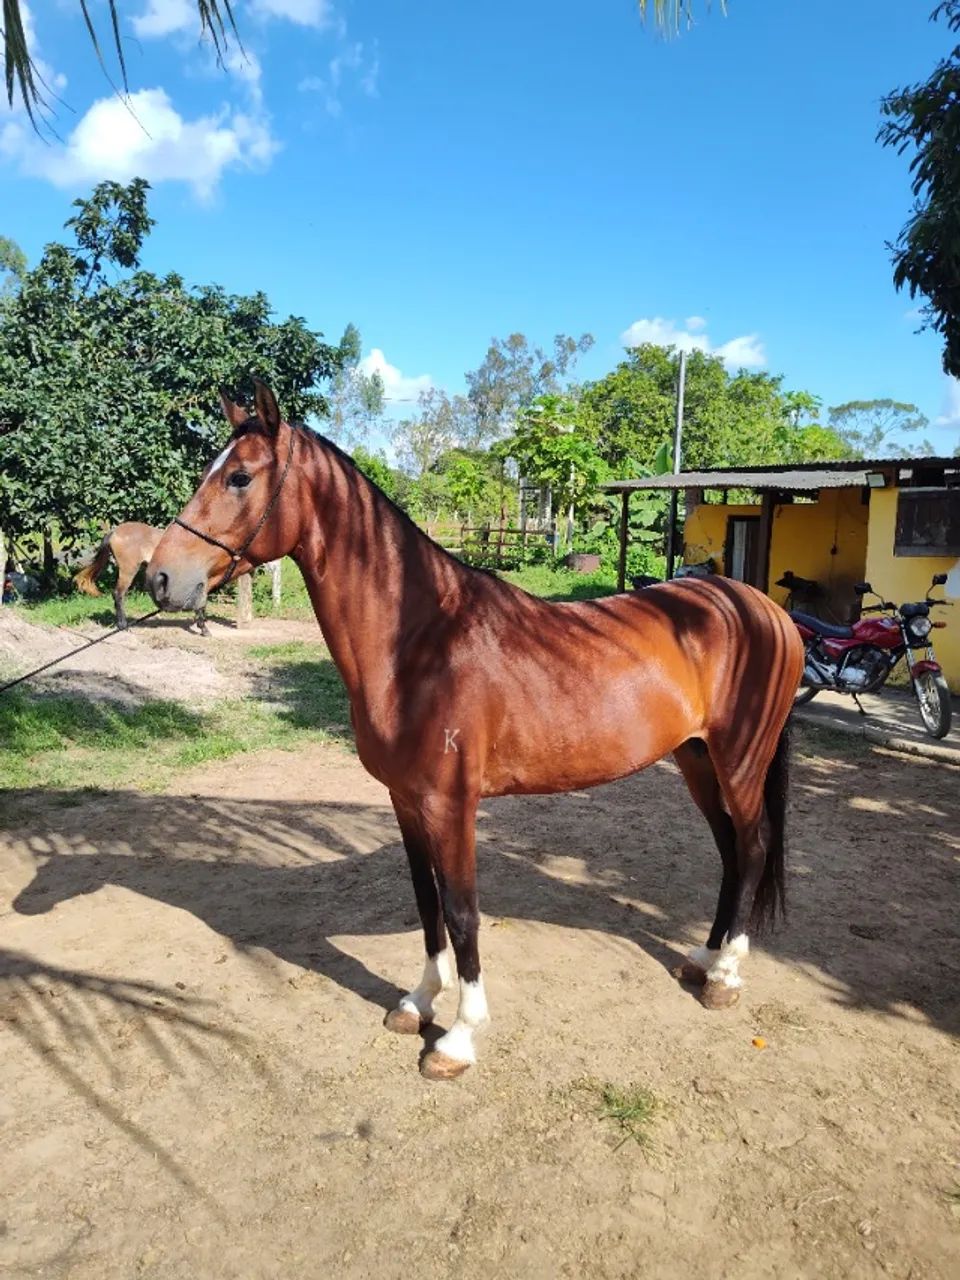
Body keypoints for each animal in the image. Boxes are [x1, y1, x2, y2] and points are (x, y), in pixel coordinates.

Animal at [146, 381, 804, 1082]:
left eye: (240, 477)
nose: (160, 577)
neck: (418, 641)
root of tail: (762, 609)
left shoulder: (451, 804)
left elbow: (463, 912)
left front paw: (459, 1037)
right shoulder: (405, 801)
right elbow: (426, 901)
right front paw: (417, 1002)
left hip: (740, 761)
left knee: (754, 846)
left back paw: (725, 977)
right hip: (697, 759)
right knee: (731, 851)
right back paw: (704, 960)